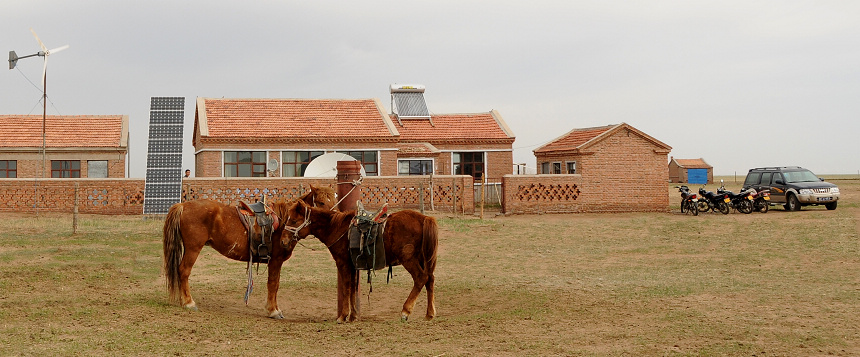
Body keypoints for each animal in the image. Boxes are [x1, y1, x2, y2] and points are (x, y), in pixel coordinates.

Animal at [161, 184, 336, 318]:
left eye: (334, 199)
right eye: (320, 202)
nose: (332, 219)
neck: (284, 222)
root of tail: (183, 205)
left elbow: (276, 284)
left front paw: (274, 308)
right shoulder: (275, 261)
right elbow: (273, 284)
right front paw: (273, 311)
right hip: (193, 248)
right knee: (183, 271)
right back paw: (189, 302)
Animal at [286, 199, 440, 322]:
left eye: (293, 220)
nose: (284, 241)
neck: (336, 228)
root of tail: (424, 218)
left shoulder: (343, 263)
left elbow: (347, 288)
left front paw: (343, 316)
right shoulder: (353, 265)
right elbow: (353, 288)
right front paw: (353, 316)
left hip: (409, 260)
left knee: (421, 278)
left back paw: (405, 311)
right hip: (424, 260)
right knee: (430, 279)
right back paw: (429, 314)